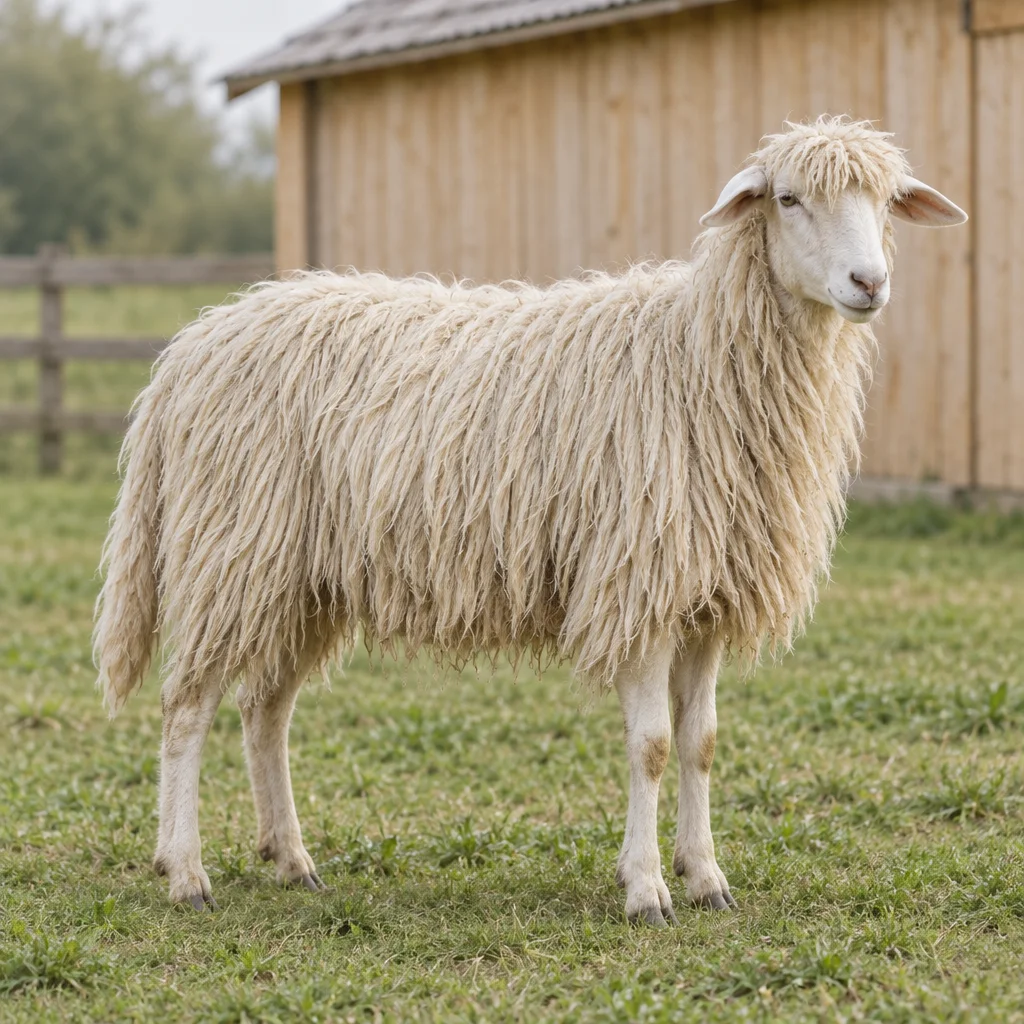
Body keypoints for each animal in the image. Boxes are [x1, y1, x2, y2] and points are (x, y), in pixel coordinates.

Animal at [94, 117, 966, 924]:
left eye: (887, 201)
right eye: (788, 199)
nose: (868, 282)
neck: (695, 356)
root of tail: (189, 348)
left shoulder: (705, 596)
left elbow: (702, 744)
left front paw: (706, 877)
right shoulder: (637, 583)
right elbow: (652, 747)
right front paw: (647, 890)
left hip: (298, 576)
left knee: (265, 711)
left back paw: (291, 859)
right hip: (232, 549)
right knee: (187, 708)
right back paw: (185, 872)